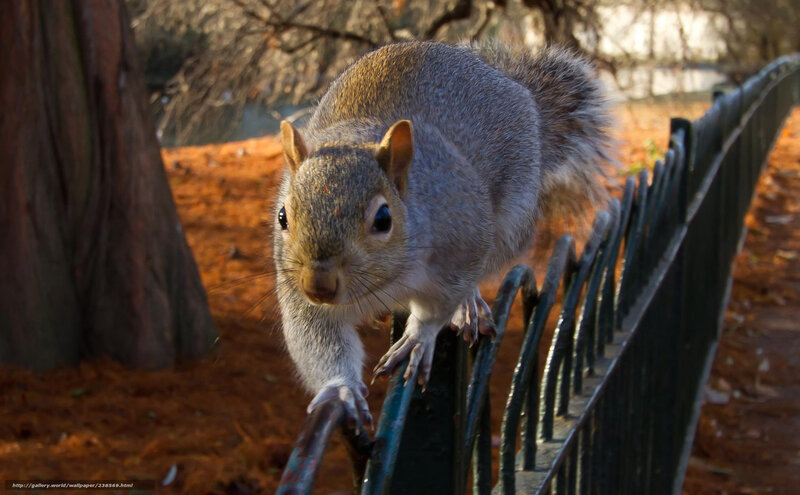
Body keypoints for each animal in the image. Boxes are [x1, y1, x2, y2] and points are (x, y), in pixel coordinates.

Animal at [273, 41, 612, 428]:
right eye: (282, 216)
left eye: (383, 219)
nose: (319, 286)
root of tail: (512, 85)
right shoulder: (298, 292)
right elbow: (317, 338)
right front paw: (341, 389)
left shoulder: (460, 247)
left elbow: (438, 306)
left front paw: (419, 338)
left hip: (509, 222)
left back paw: (469, 306)